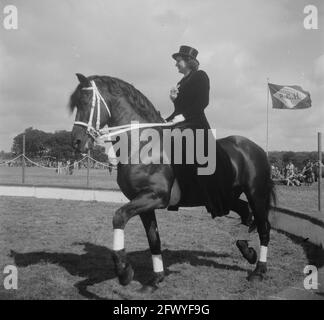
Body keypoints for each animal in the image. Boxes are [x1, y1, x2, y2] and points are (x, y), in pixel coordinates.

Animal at [69, 73, 276, 292]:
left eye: (85, 102)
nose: (76, 142)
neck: (143, 145)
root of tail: (255, 148)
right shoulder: (142, 202)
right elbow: (154, 240)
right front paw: (155, 279)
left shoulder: (155, 197)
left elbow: (119, 217)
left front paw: (124, 272)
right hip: (227, 197)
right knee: (247, 214)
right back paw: (248, 251)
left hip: (256, 194)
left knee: (264, 227)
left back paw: (259, 270)